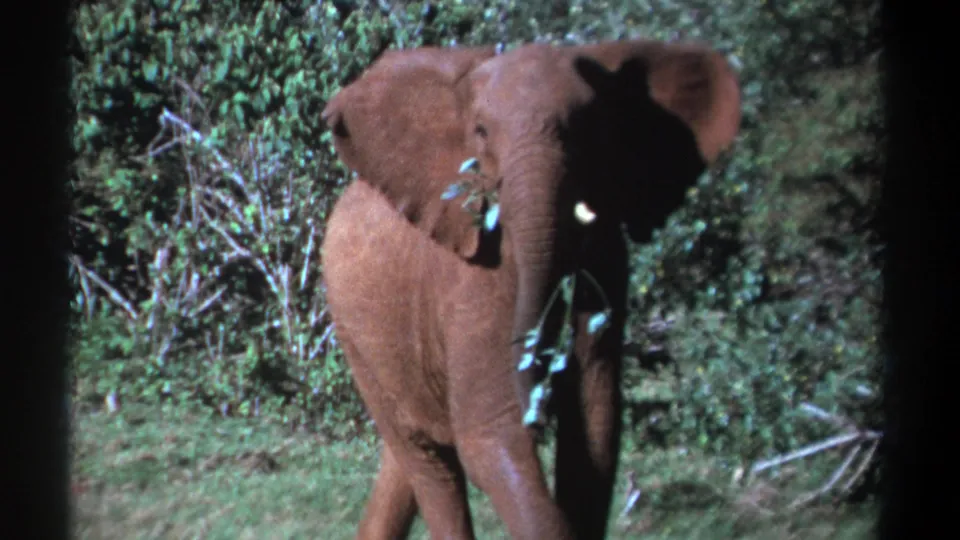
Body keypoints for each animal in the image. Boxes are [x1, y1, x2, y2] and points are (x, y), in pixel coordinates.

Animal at [320, 38, 741, 540]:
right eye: (481, 132)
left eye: (587, 127)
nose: (538, 415)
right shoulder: (478, 268)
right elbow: (491, 436)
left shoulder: (608, 255)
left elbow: (595, 422)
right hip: (354, 335)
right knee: (430, 461)